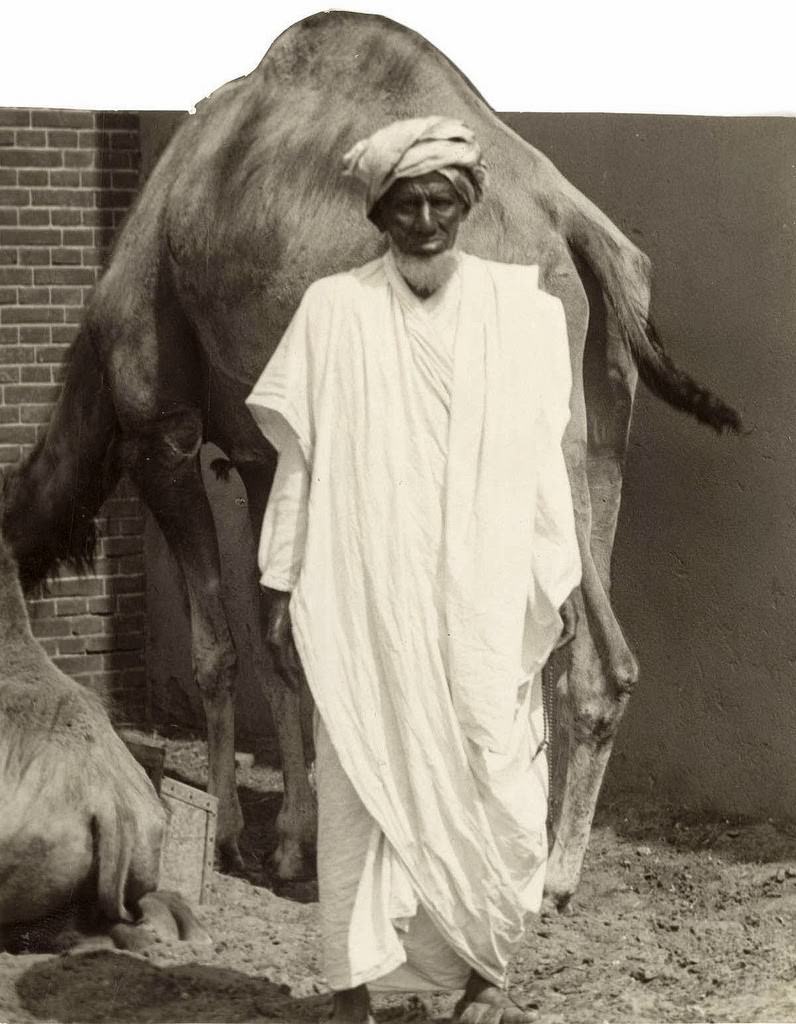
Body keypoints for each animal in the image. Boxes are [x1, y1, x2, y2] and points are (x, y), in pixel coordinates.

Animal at [0, 12, 737, 909]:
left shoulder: (159, 429)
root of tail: (574, 226)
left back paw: (544, 881)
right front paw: (297, 838)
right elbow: (282, 638)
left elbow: (219, 650)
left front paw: (235, 839)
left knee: (590, 658)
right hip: (603, 421)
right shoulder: (264, 452)